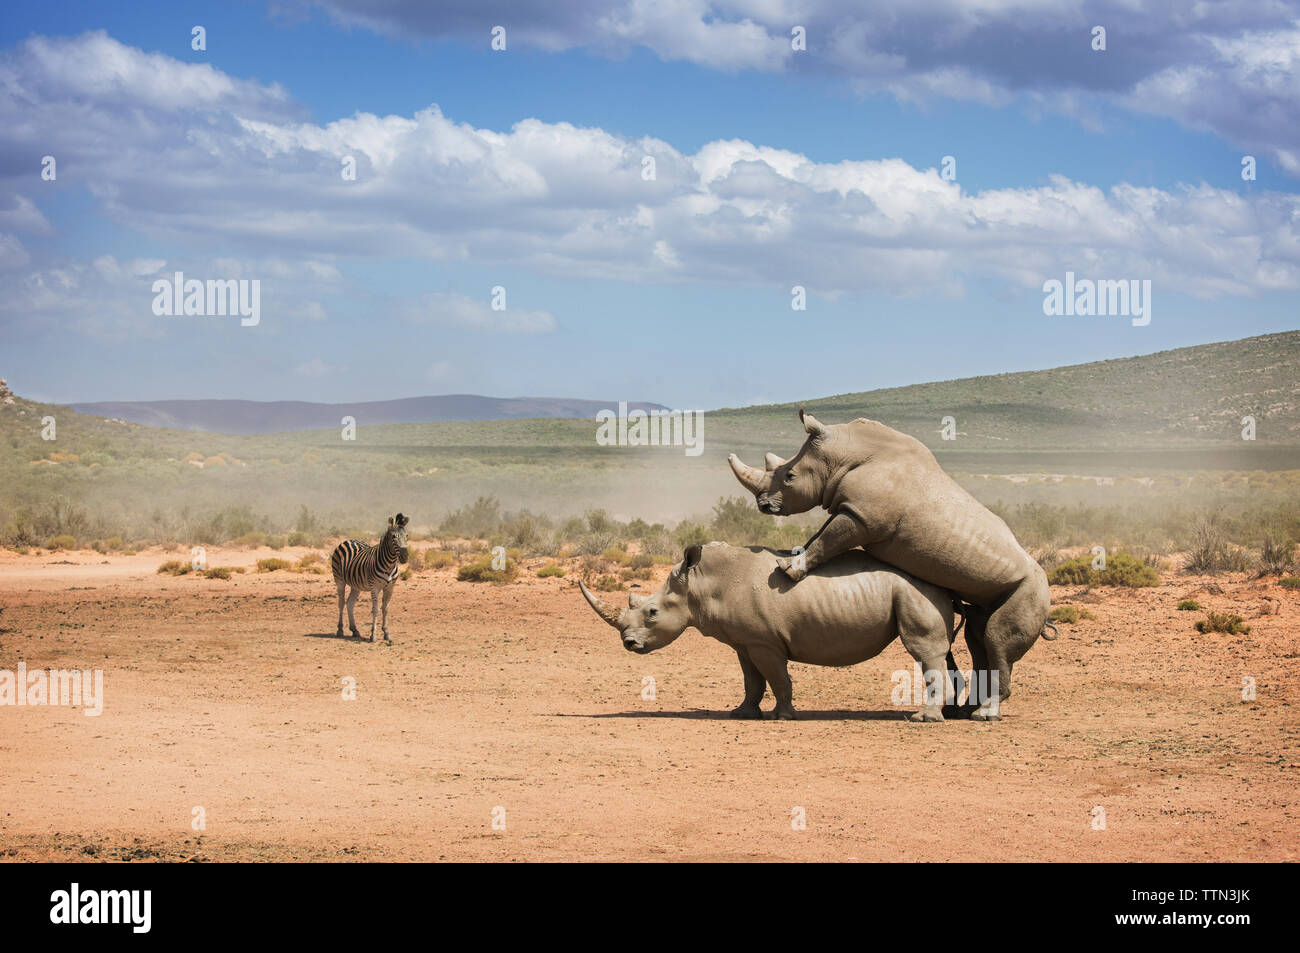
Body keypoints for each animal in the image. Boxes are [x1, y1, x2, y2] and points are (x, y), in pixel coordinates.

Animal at [327, 509, 408, 642]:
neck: (389, 564)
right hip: (339, 580)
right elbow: (375, 609)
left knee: (350, 603)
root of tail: (348, 540)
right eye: (393, 537)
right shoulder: (375, 587)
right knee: (341, 603)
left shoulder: (390, 587)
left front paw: (386, 633)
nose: (405, 556)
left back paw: (354, 630)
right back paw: (340, 630)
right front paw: (373, 635)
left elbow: (385, 609)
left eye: (407, 536)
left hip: (356, 585)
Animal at [579, 543, 967, 722]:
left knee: (924, 652)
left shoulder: (765, 641)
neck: (701, 585)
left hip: (916, 589)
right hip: (916, 588)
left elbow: (778, 678)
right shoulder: (745, 641)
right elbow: (752, 680)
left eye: (652, 612)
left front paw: (783, 716)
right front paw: (742, 713)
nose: (629, 643)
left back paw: (924, 719)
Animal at [733, 410, 1055, 722]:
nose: (764, 505)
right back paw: (963, 713)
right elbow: (820, 534)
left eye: (789, 476)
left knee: (996, 639)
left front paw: (788, 570)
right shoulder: (853, 508)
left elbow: (827, 539)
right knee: (978, 636)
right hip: (993, 597)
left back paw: (983, 715)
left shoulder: (863, 517)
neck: (844, 451)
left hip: (1032, 588)